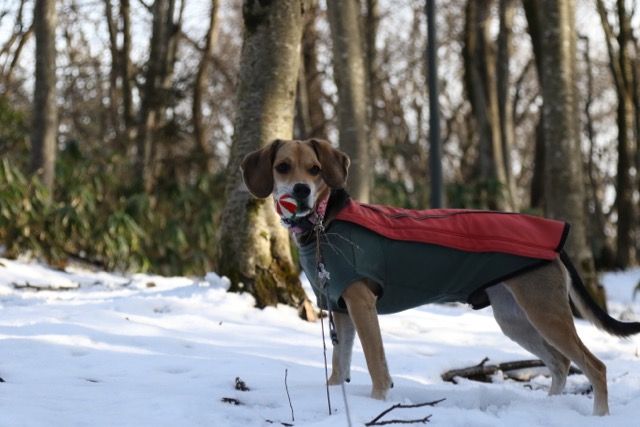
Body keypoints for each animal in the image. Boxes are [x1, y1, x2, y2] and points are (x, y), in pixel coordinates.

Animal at [240, 139, 640, 416]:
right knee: (560, 364)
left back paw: (599, 415)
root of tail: (557, 241)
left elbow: (375, 365)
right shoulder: (340, 311)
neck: (325, 221)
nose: (301, 191)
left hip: (546, 313)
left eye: (315, 169)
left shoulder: (361, 304)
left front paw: (377, 403)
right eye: (282, 167)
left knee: (595, 367)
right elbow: (340, 366)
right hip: (515, 318)